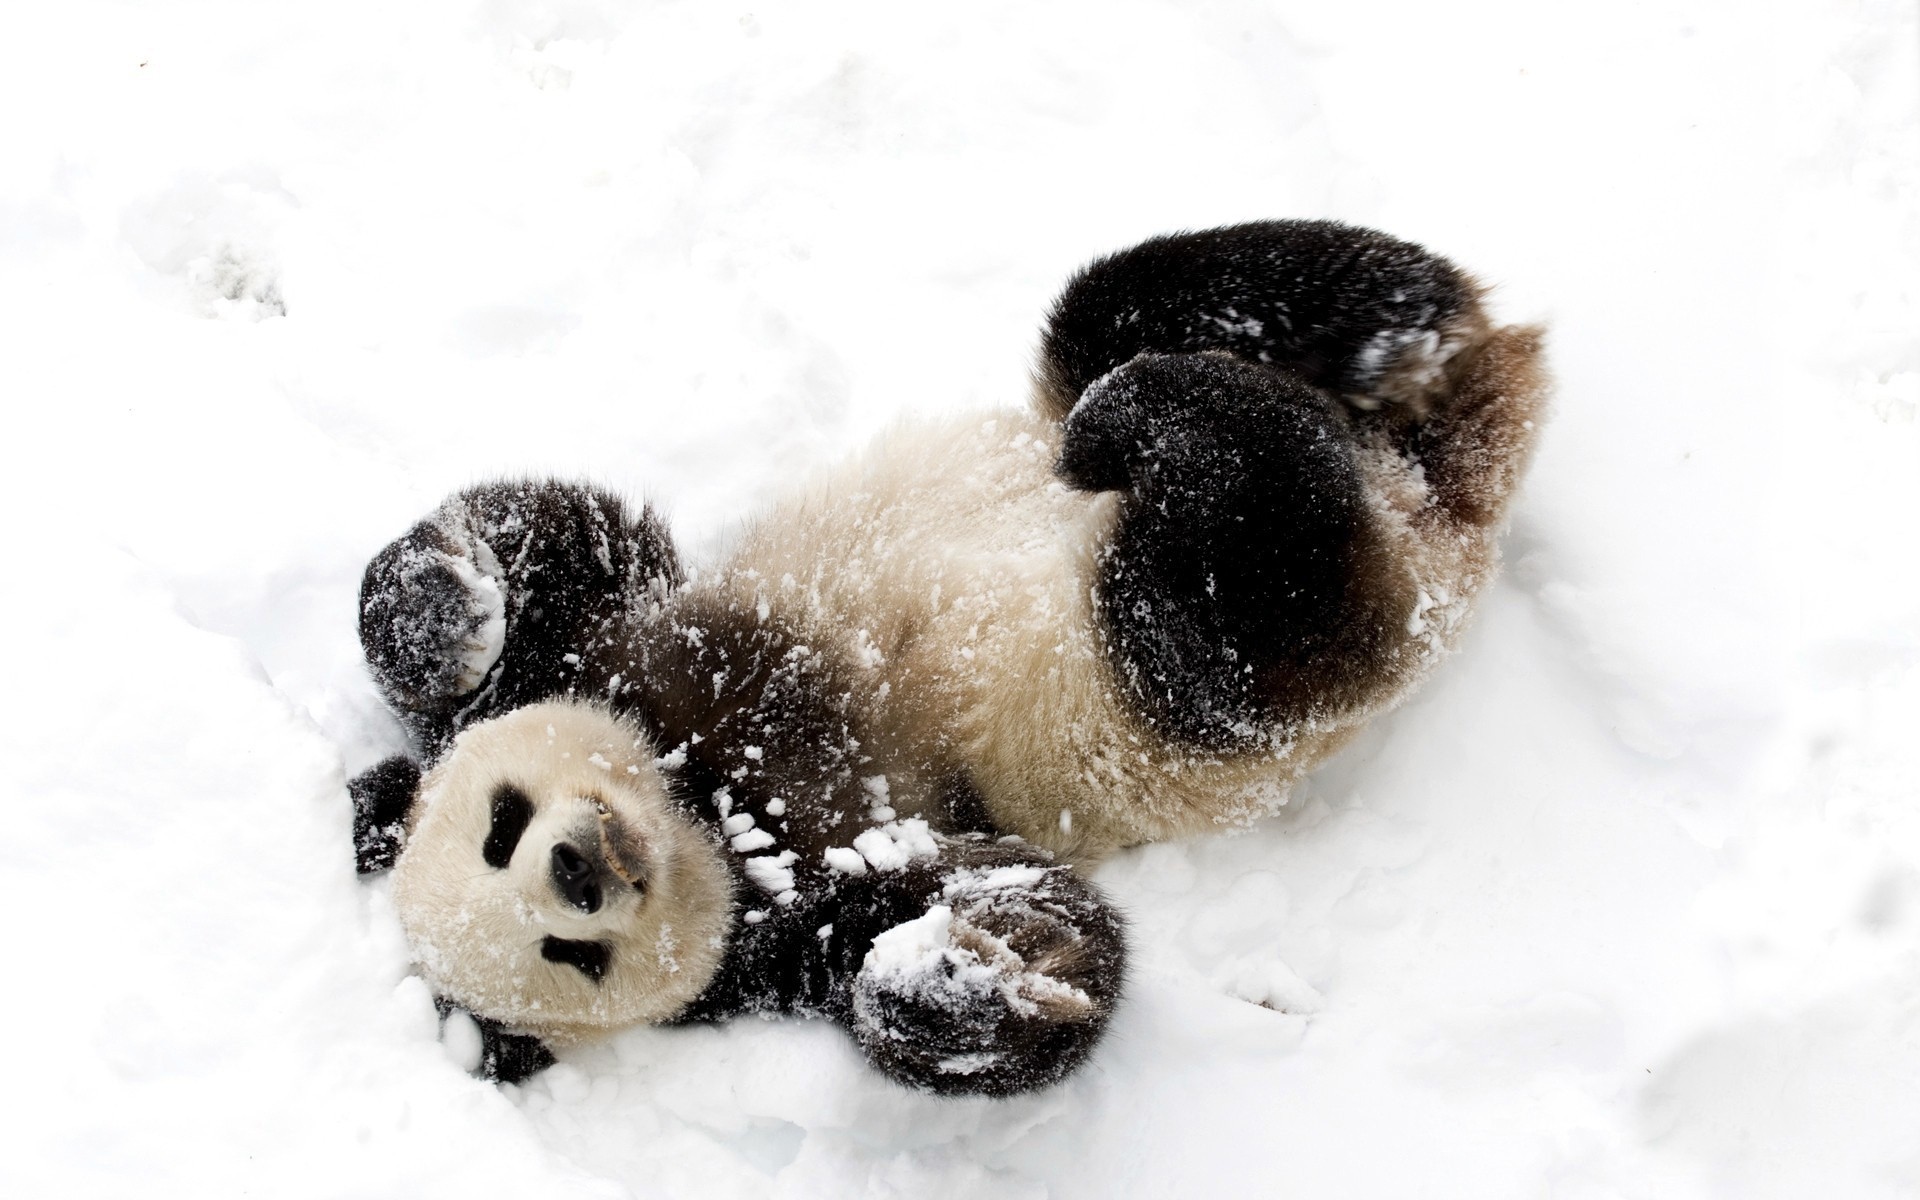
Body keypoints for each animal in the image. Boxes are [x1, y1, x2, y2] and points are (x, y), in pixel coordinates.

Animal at [345, 217, 1543, 1098]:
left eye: (500, 826)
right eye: (570, 957)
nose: (579, 870)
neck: (704, 795)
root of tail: (1433, 497)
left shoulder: (620, 646)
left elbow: (559, 540)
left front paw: (443, 611)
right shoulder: (802, 905)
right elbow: (1028, 922)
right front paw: (953, 979)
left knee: (1129, 309)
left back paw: (1368, 338)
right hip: (1194, 677)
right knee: (1246, 587)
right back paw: (1212, 418)